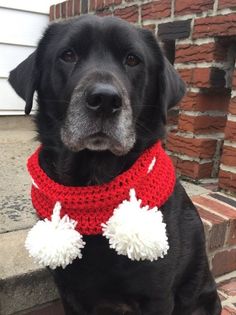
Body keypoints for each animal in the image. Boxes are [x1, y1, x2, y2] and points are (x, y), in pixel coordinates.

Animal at [8, 13, 220, 314]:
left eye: (132, 60)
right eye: (68, 55)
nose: (105, 100)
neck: (95, 179)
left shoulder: (156, 297)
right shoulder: (70, 293)